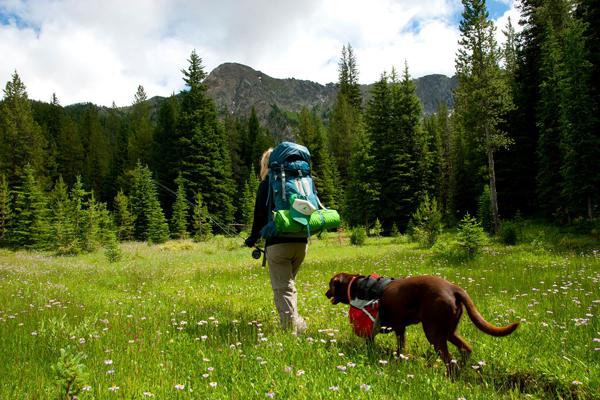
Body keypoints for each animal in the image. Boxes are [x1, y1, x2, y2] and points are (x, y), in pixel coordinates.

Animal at [326, 274, 516, 374]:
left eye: (330, 285)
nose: (326, 293)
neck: (356, 285)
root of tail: (453, 288)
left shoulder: (374, 328)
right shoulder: (400, 328)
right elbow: (400, 347)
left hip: (433, 332)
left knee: (449, 359)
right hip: (449, 331)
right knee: (465, 349)